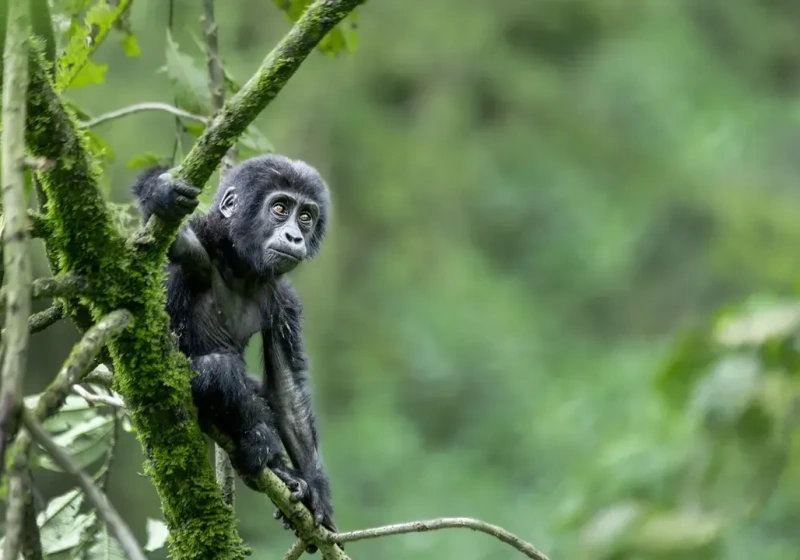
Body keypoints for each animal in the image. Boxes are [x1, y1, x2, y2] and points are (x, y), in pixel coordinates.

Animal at [131, 154, 336, 536]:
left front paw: (317, 491)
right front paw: (160, 190)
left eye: (305, 216)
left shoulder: (284, 300)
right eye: (280, 208)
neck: (239, 263)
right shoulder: (197, 243)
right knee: (217, 370)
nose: (294, 235)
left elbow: (287, 391)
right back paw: (261, 444)